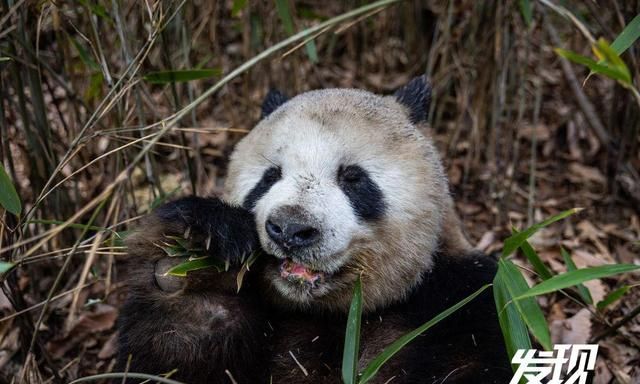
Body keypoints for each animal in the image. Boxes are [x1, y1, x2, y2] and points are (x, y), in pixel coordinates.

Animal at [117, 76, 512, 382]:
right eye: (270, 175)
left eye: (353, 178)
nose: (290, 229)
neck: (328, 313)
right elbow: (168, 364)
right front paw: (192, 259)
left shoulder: (464, 301)